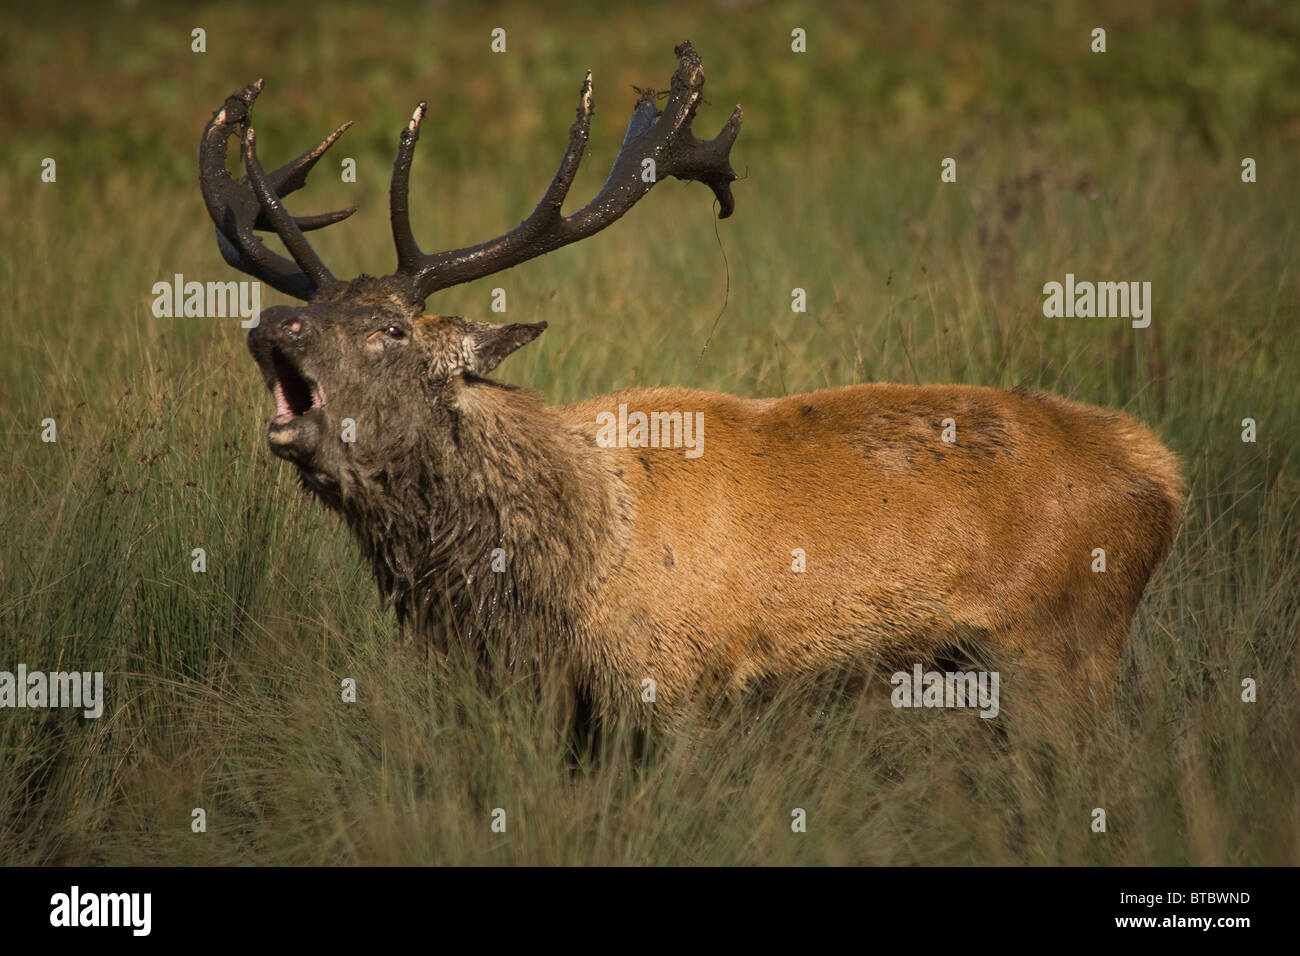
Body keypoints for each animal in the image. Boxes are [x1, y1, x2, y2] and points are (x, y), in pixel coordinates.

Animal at [198, 41, 1184, 728]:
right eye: (312, 309)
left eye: (391, 329)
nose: (272, 325)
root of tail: (1166, 476)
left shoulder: (675, 685)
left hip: (1064, 651)